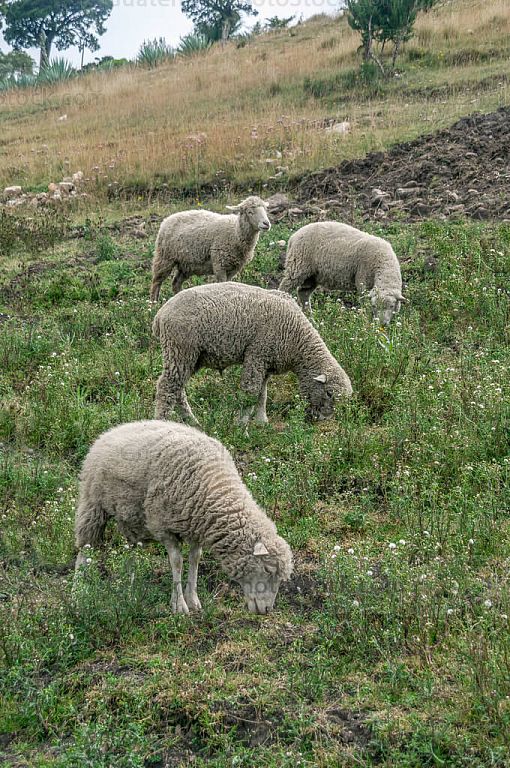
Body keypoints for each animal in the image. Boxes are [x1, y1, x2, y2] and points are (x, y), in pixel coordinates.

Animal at [74, 420, 293, 615]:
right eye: (268, 570)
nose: (266, 611)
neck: (214, 490)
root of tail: (113, 430)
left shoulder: (196, 526)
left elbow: (195, 559)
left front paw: (193, 599)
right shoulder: (163, 527)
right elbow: (177, 562)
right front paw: (179, 605)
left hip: (129, 517)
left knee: (131, 551)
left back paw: (130, 589)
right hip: (92, 504)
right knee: (84, 549)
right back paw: (77, 591)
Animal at [152, 282, 352, 425]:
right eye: (329, 394)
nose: (323, 420)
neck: (297, 340)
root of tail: (160, 314)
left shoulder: (266, 362)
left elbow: (262, 394)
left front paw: (261, 421)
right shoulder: (257, 354)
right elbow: (250, 392)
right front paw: (242, 427)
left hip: (192, 357)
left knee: (178, 389)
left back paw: (192, 422)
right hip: (180, 349)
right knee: (167, 387)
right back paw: (163, 421)